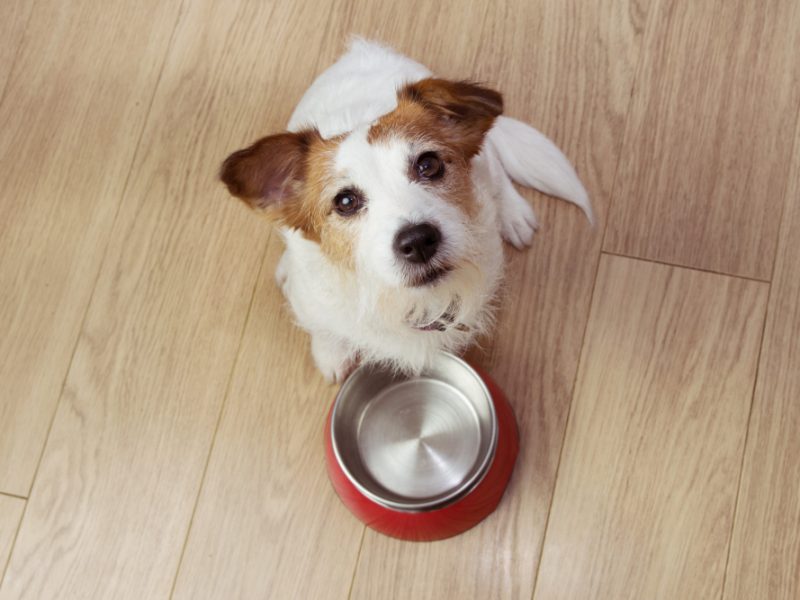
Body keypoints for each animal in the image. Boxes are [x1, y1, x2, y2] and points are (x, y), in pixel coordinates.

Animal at [222, 38, 592, 380]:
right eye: (345, 202)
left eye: (428, 164)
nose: (418, 241)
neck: (403, 301)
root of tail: (362, 48)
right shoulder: (314, 302)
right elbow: (323, 327)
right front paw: (331, 353)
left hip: (485, 160)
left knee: (497, 167)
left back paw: (514, 214)